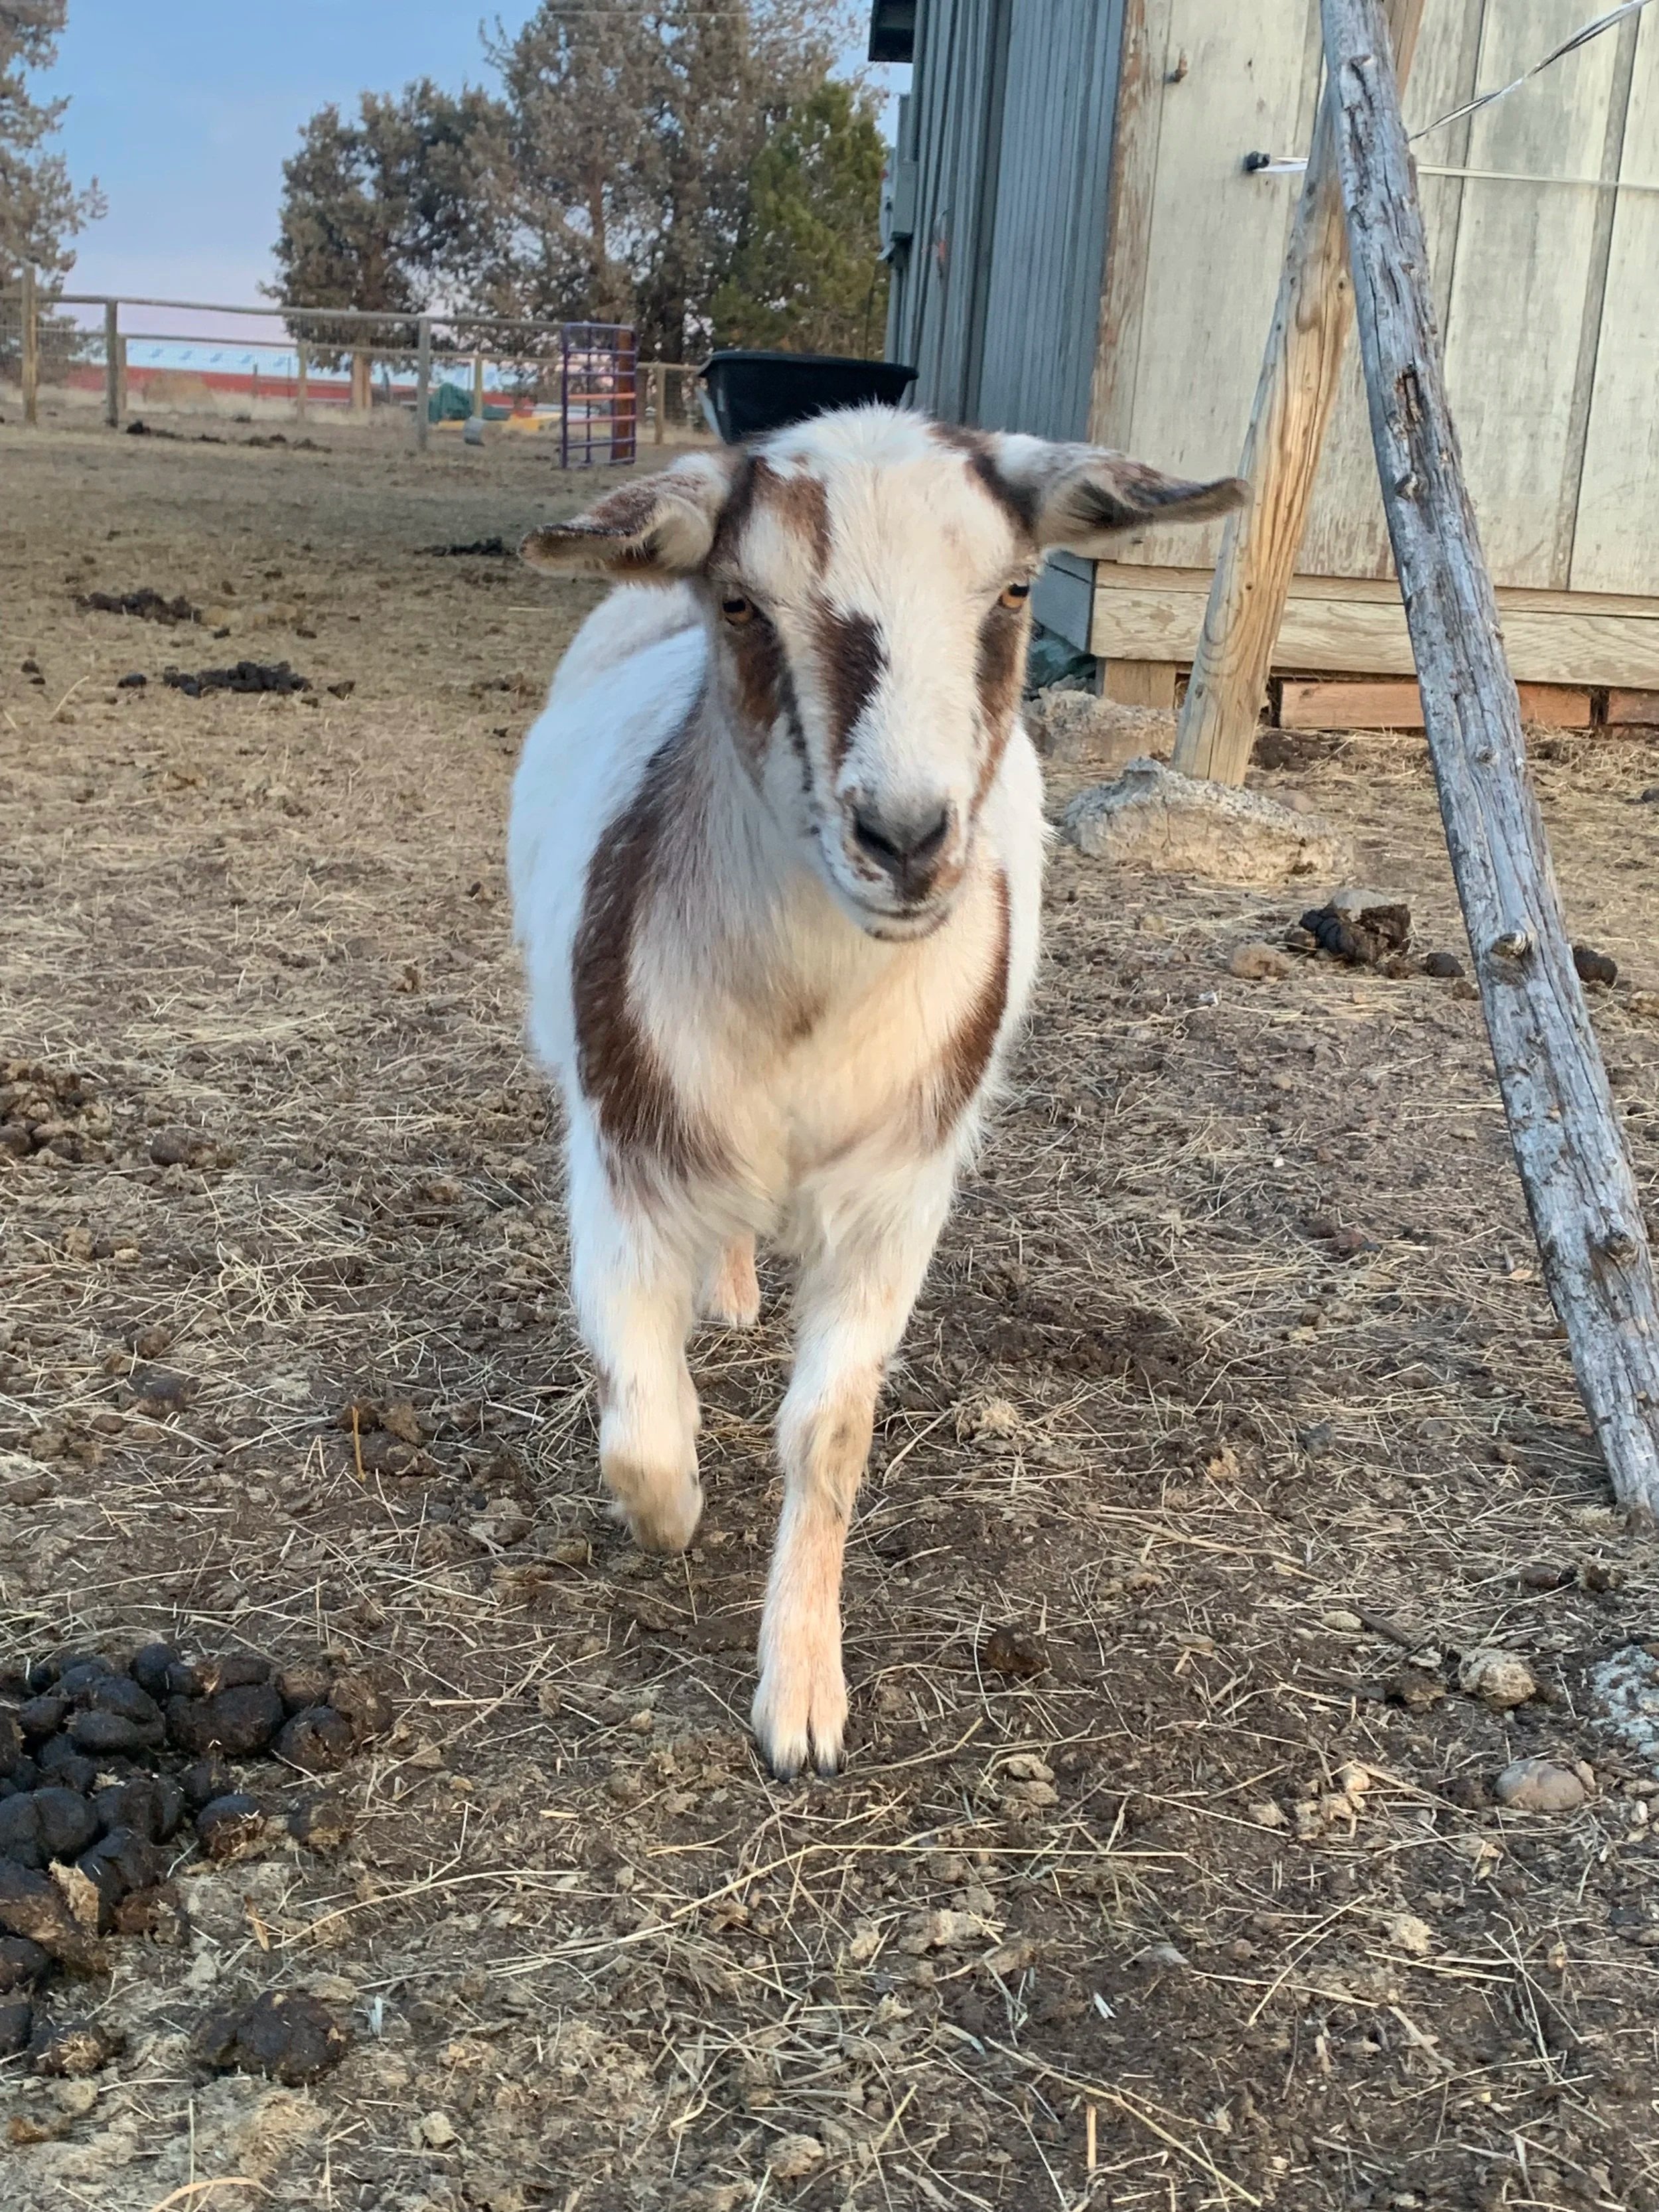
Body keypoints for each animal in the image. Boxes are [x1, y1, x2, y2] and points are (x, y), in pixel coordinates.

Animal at [508, 405, 1243, 1777]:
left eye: (1014, 589)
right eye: (739, 603)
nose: (905, 838)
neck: (811, 1005)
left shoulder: (899, 1194)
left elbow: (830, 1434)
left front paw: (803, 1697)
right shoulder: (624, 1159)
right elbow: (641, 1430)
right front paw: (673, 1515)